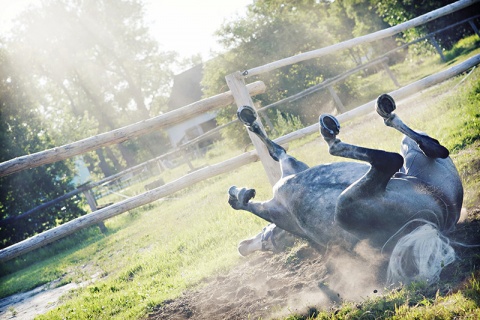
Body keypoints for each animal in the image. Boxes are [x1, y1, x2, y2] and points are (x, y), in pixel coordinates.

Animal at [231, 94, 464, 284]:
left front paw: (248, 118)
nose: (242, 246)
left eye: (266, 232)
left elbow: (276, 150)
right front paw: (239, 195)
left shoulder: (289, 171)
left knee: (422, 149)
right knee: (394, 158)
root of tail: (435, 223)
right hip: (345, 206)